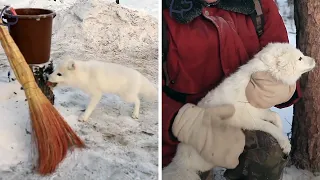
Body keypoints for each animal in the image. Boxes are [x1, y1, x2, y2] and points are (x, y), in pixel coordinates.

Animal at [164, 43, 316, 179]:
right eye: (300, 58)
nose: (314, 59)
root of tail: (180, 162)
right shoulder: (249, 120)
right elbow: (270, 127)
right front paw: (285, 143)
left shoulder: (259, 110)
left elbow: (275, 116)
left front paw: (280, 128)